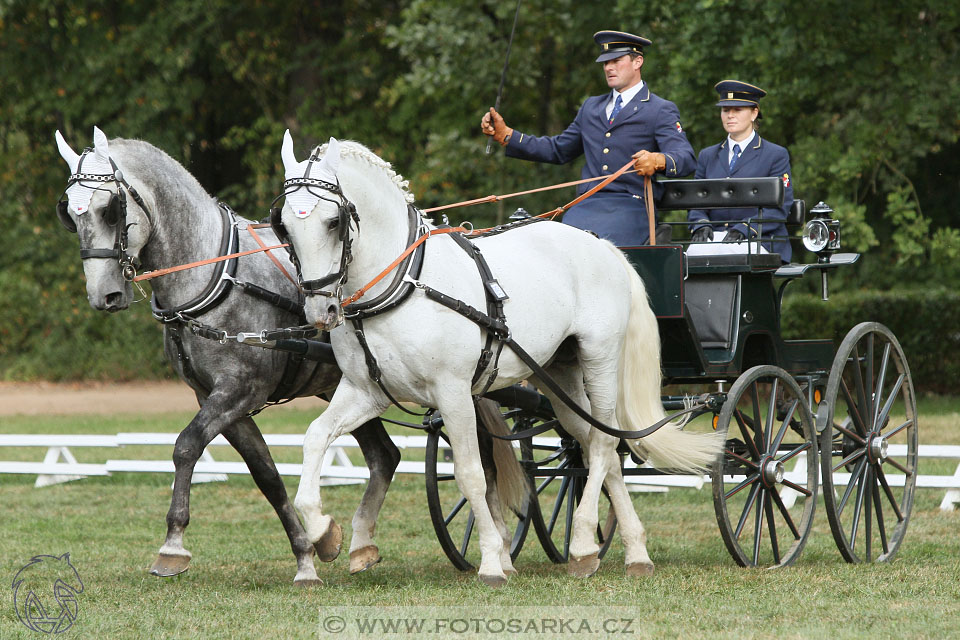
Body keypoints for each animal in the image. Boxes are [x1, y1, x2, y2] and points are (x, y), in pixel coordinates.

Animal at [56, 126, 402, 584]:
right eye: (70, 214)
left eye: (110, 210)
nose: (104, 295)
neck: (212, 273)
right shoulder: (216, 398)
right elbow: (266, 475)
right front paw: (307, 555)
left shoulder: (240, 391)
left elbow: (185, 446)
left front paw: (173, 546)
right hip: (349, 389)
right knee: (384, 455)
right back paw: (360, 546)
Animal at [278, 131, 720, 584]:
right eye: (285, 226)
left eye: (333, 222)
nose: (320, 311)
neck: (404, 284)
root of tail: (600, 244)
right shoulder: (365, 392)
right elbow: (315, 436)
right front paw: (323, 531)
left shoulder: (453, 391)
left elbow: (471, 474)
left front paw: (492, 559)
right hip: (559, 374)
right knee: (595, 445)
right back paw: (634, 550)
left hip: (600, 358)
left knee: (602, 444)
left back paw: (582, 542)